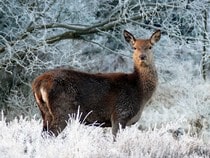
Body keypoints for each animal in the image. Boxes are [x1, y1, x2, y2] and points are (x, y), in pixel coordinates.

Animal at [31, 29, 161, 138]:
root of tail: (38, 83)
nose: (142, 57)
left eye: (150, 47)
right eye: (134, 47)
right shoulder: (120, 114)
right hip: (62, 110)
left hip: (45, 113)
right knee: (50, 135)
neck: (139, 90)